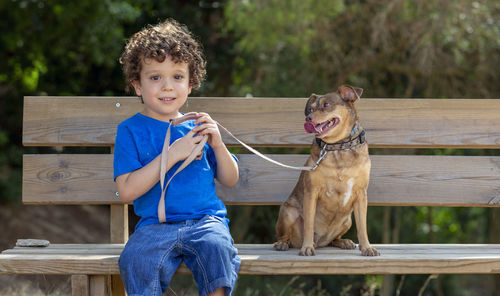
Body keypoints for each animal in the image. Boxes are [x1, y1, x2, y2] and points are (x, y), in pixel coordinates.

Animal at [274, 85, 378, 256]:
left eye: (326, 105)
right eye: (310, 109)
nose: (308, 118)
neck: (338, 146)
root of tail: (320, 241)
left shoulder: (361, 194)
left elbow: (362, 227)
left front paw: (367, 247)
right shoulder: (312, 192)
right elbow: (309, 225)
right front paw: (306, 247)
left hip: (347, 220)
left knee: (333, 239)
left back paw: (343, 242)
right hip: (288, 211)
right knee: (285, 235)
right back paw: (284, 243)